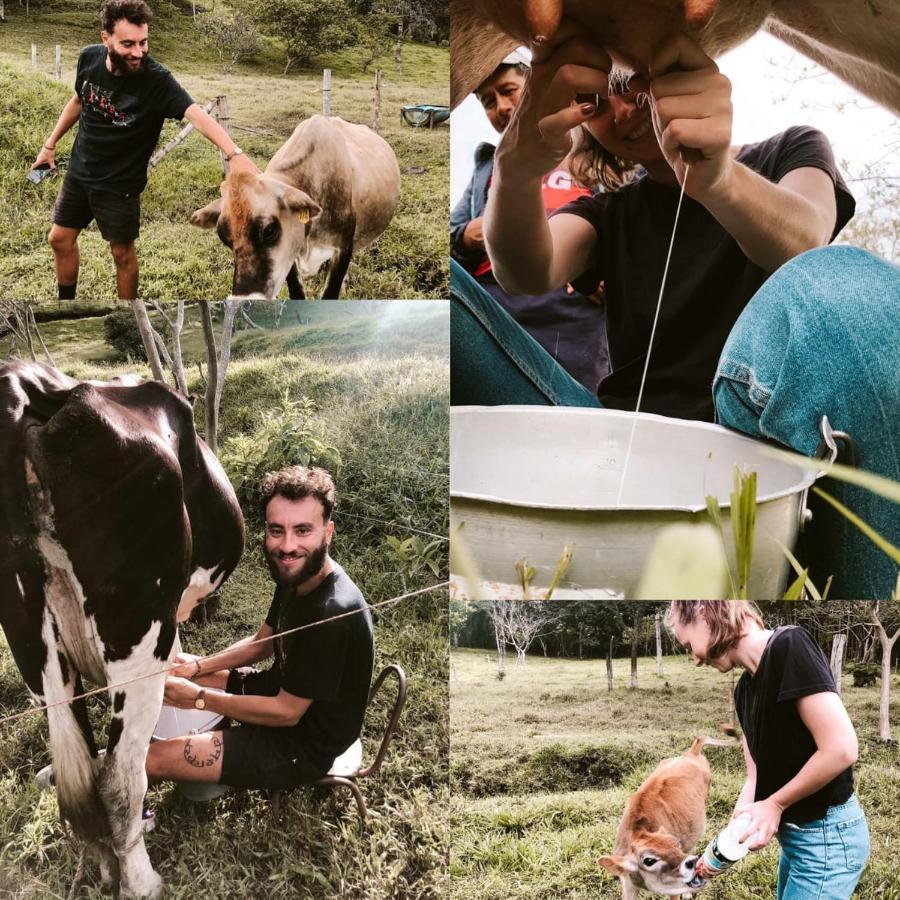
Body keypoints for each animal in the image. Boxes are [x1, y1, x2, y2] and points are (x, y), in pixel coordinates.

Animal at [0, 360, 246, 900]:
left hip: (31, 641)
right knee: (116, 776)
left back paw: (104, 865)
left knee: (79, 767)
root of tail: (30, 390)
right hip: (138, 630)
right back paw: (140, 881)